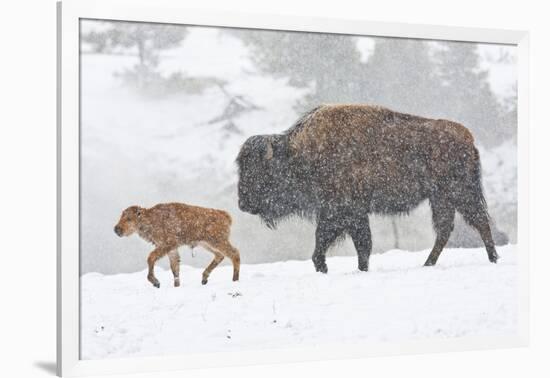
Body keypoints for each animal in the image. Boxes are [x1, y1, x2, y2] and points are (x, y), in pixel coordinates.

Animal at [237, 105, 500, 274]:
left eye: (259, 170)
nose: (242, 204)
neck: (300, 153)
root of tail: (468, 138)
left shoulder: (342, 211)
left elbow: (343, 241)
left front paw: (326, 267)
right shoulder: (349, 213)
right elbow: (358, 243)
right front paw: (351, 268)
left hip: (459, 192)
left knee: (479, 221)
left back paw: (493, 259)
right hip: (441, 198)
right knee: (447, 228)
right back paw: (428, 264)